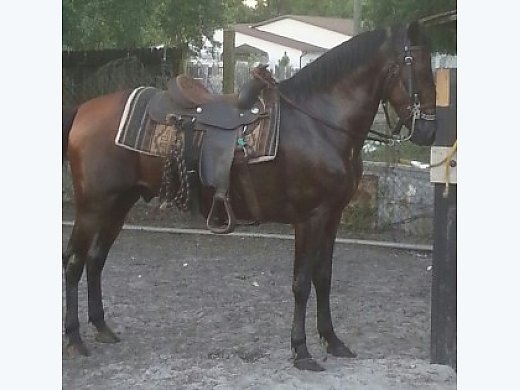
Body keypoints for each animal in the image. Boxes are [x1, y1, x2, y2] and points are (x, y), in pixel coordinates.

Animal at [63, 22, 436, 372]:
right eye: (416, 68)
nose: (429, 131)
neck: (318, 124)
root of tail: (85, 110)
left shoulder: (331, 217)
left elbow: (324, 278)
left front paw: (332, 341)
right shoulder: (309, 218)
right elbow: (301, 283)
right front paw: (301, 351)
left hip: (119, 204)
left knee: (96, 259)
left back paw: (101, 327)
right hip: (93, 207)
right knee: (74, 263)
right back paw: (75, 339)